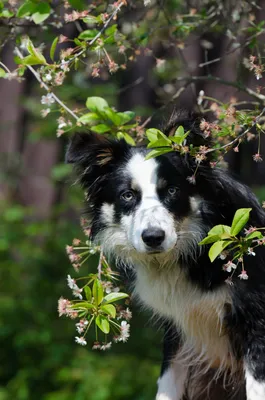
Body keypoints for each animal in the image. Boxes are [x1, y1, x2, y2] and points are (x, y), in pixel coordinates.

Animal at [66, 112, 265, 400]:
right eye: (128, 195)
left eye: (171, 191)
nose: (153, 237)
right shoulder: (177, 327)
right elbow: (167, 383)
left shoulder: (255, 321)